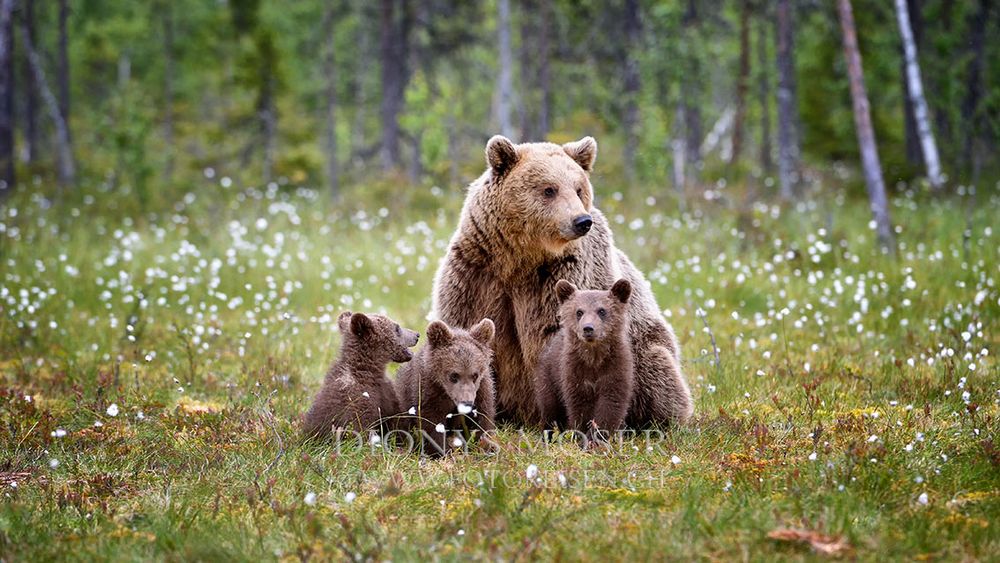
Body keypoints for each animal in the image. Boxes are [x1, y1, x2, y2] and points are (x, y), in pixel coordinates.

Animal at [300, 312, 418, 440]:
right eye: (397, 328)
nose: (417, 335)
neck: (370, 370)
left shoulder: (386, 395)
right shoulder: (357, 400)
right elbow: (360, 429)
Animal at [394, 320, 496, 456]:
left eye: (475, 375)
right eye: (454, 375)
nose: (467, 402)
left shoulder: (481, 390)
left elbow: (483, 416)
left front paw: (486, 444)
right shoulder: (429, 390)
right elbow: (432, 423)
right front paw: (443, 451)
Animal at [540, 278, 632, 440]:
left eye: (602, 310)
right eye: (579, 312)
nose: (588, 328)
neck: (593, 358)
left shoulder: (615, 369)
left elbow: (611, 404)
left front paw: (599, 436)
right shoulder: (574, 372)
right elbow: (580, 406)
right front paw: (580, 434)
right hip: (549, 375)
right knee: (550, 406)